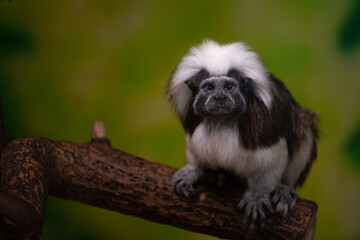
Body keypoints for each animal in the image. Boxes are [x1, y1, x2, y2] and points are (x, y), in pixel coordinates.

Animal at [166, 39, 318, 229]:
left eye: (229, 87)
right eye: (209, 88)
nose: (220, 98)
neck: (222, 121)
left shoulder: (264, 126)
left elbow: (273, 159)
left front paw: (257, 196)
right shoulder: (193, 121)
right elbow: (194, 146)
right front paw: (193, 171)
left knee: (304, 128)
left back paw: (284, 190)